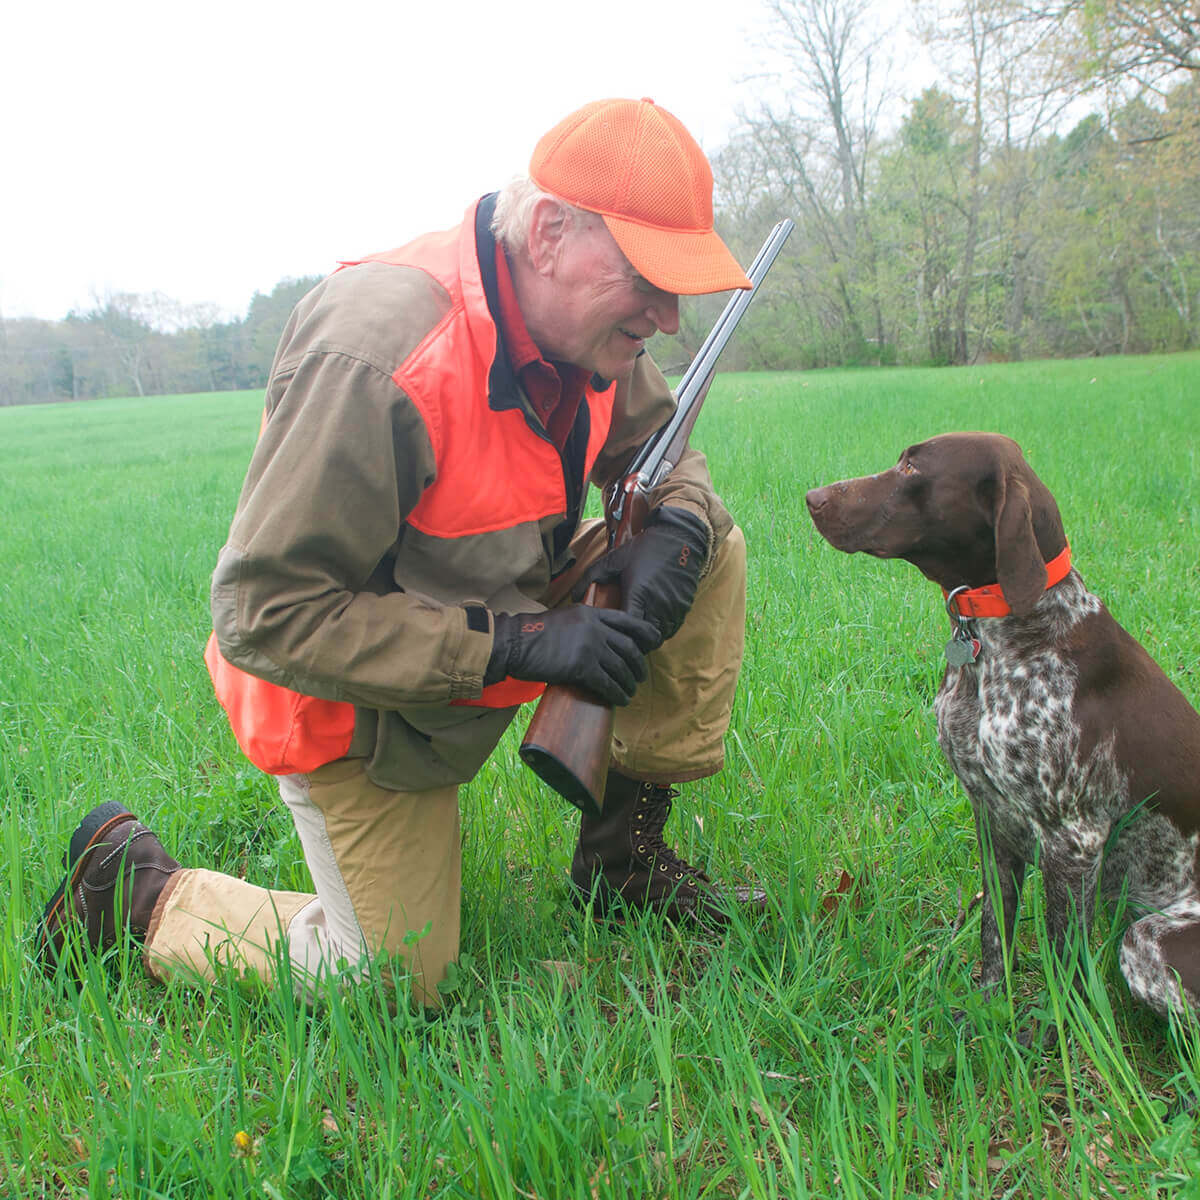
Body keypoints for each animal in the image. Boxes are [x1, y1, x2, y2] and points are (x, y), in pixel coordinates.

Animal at [806, 434, 1200, 1022]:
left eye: (911, 467)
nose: (813, 497)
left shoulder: (1074, 843)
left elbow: (1064, 965)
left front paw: (1049, 1032)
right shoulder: (992, 819)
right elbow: (996, 935)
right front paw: (989, 1012)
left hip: (1149, 939)